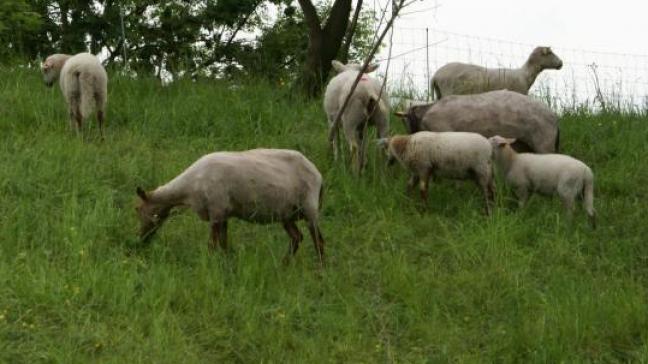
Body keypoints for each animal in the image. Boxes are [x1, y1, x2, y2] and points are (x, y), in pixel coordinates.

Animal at [135, 148, 326, 264]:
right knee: (296, 237)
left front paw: (209, 264)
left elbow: (212, 244)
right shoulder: (223, 213)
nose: (141, 239)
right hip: (286, 213)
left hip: (309, 207)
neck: (188, 188)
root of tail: (318, 174)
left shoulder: (216, 210)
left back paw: (320, 271)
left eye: (138, 210)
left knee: (318, 241)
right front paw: (226, 263)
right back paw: (283, 265)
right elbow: (223, 242)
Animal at [432, 46, 564, 99]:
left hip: (439, 94)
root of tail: (435, 75)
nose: (561, 63)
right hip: (448, 91)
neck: (524, 74)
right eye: (550, 53)